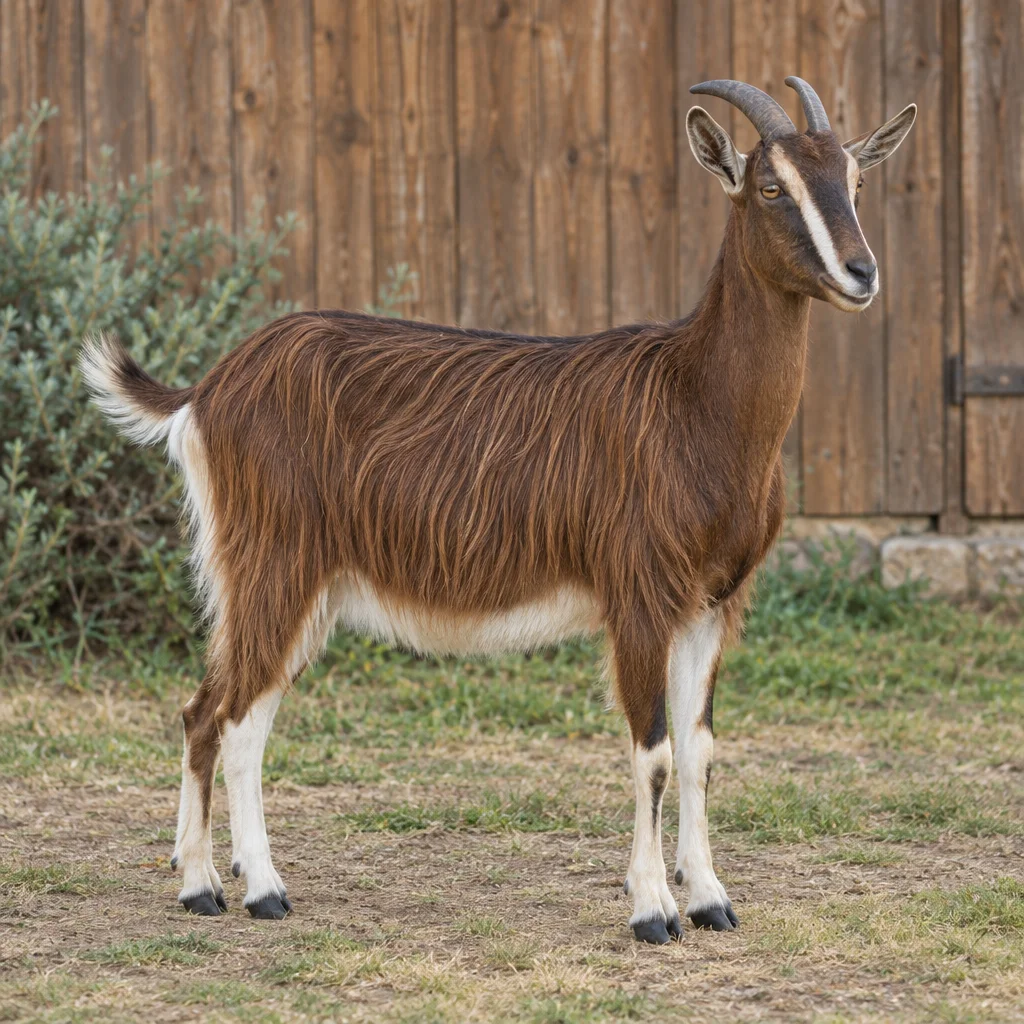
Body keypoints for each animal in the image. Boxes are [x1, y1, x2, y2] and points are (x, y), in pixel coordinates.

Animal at [82, 77, 916, 943]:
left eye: (855, 181)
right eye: (771, 187)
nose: (861, 272)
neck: (695, 401)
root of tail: (209, 390)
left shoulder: (714, 603)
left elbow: (698, 751)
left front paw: (712, 898)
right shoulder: (639, 596)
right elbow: (651, 753)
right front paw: (654, 909)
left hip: (297, 588)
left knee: (215, 710)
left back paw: (213, 882)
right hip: (273, 562)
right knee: (233, 715)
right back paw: (247, 889)